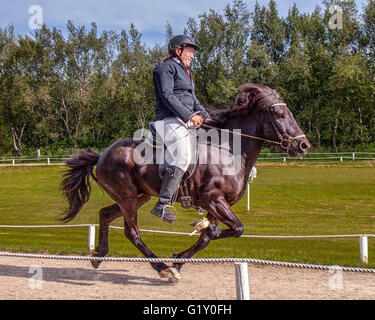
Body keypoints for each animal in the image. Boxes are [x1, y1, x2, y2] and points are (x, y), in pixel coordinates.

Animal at [60, 83, 310, 282]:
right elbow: (234, 229)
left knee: (105, 214)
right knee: (132, 233)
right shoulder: (213, 200)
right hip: (128, 198)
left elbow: (208, 238)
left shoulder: (219, 206)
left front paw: (179, 260)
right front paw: (177, 260)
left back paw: (99, 255)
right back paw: (161, 268)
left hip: (138, 196)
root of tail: (102, 154)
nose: (303, 145)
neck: (229, 151)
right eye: (279, 114)